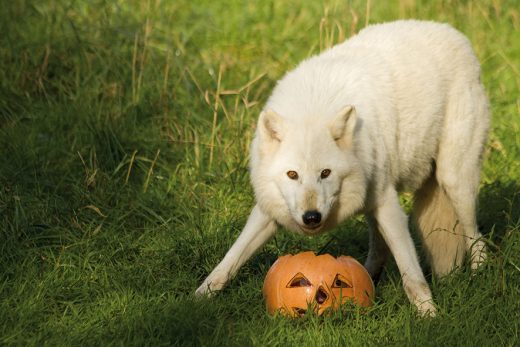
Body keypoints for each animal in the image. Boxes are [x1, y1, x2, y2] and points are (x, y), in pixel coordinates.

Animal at [194, 20, 488, 316]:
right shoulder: (268, 212)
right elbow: (229, 260)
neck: (313, 107)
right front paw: (196, 300)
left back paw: (479, 275)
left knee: (475, 236)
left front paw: (429, 315)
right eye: (292, 175)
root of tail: (455, 34)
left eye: (325, 173)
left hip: (453, 181)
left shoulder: (388, 203)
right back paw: (369, 279)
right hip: (381, 205)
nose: (311, 218)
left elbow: (412, 274)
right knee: (379, 247)